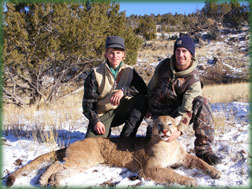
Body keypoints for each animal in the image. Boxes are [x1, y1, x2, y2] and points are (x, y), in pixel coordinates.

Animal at [6, 115, 220, 186]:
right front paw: (191, 181)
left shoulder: (184, 158)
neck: (169, 144)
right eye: (158, 125)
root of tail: (76, 142)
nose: (166, 131)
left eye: (170, 124)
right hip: (80, 160)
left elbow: (200, 161)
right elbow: (172, 174)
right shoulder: (150, 169)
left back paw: (55, 182)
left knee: (61, 170)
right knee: (56, 163)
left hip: (83, 164)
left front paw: (215, 173)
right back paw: (43, 179)